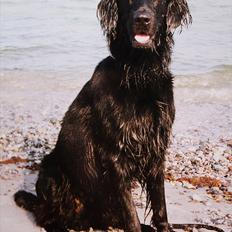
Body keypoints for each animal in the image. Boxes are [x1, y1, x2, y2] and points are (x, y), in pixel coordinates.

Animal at [14, 0, 190, 232]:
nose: (142, 19)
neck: (140, 73)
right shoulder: (114, 154)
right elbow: (130, 212)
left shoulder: (156, 149)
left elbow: (160, 205)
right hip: (50, 171)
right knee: (46, 217)